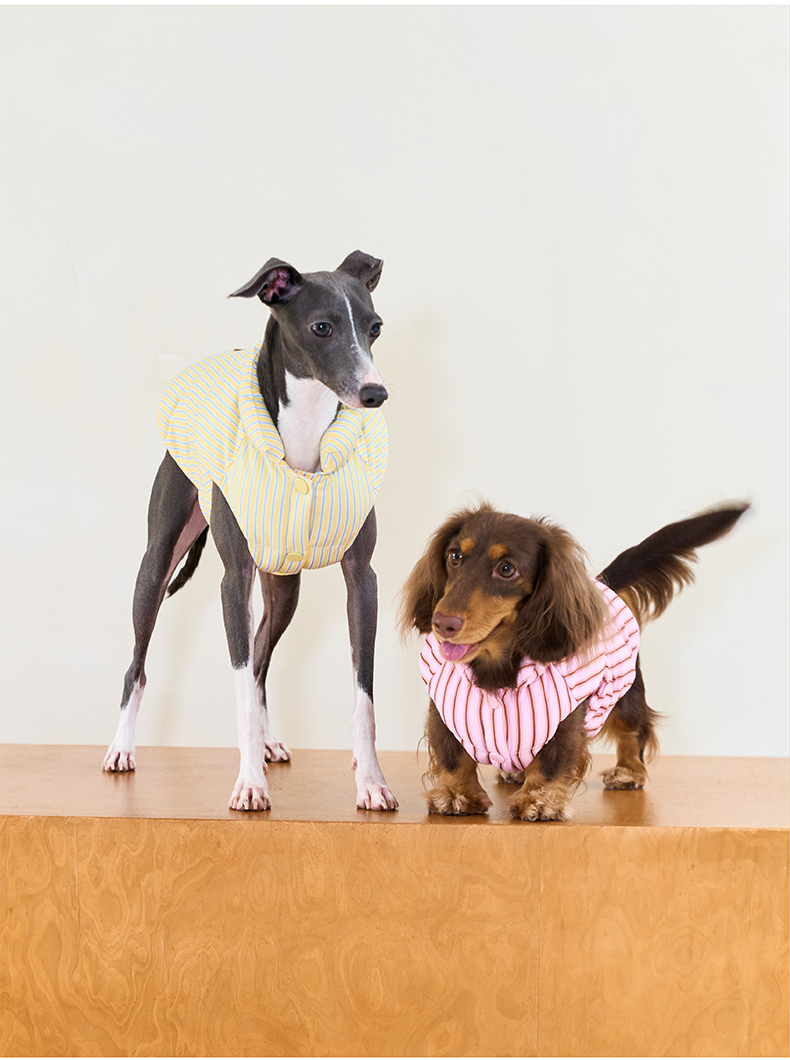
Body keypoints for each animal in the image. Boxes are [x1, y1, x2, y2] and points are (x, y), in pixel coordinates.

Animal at [104, 251, 398, 812]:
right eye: (322, 327)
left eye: (375, 327)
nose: (375, 393)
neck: (303, 441)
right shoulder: (233, 578)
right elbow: (238, 687)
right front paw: (249, 785)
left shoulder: (362, 576)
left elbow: (365, 695)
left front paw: (372, 780)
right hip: (157, 562)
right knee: (139, 664)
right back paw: (121, 748)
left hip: (284, 587)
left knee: (262, 658)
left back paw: (267, 742)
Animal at [399, 501, 748, 820]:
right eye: (455, 556)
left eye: (506, 569)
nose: (442, 623)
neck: (496, 669)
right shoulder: (443, 709)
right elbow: (452, 756)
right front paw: (456, 794)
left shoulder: (566, 716)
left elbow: (552, 762)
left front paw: (539, 800)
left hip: (624, 692)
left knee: (632, 731)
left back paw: (629, 771)